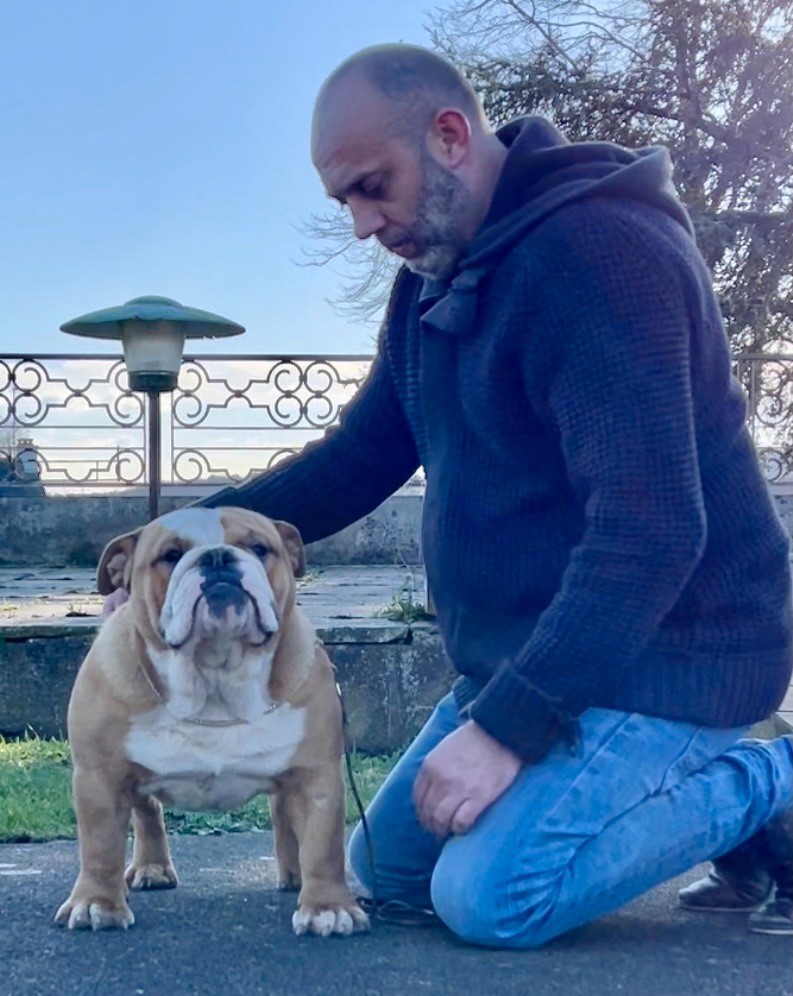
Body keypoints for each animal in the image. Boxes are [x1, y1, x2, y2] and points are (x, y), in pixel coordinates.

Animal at [55, 507, 369, 937]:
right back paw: (152, 868)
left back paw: (295, 875)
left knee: (283, 814)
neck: (215, 681)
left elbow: (323, 846)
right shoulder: (99, 778)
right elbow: (100, 845)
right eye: (170, 555)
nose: (218, 557)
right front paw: (96, 903)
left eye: (259, 548)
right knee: (147, 811)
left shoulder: (315, 776)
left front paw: (328, 907)